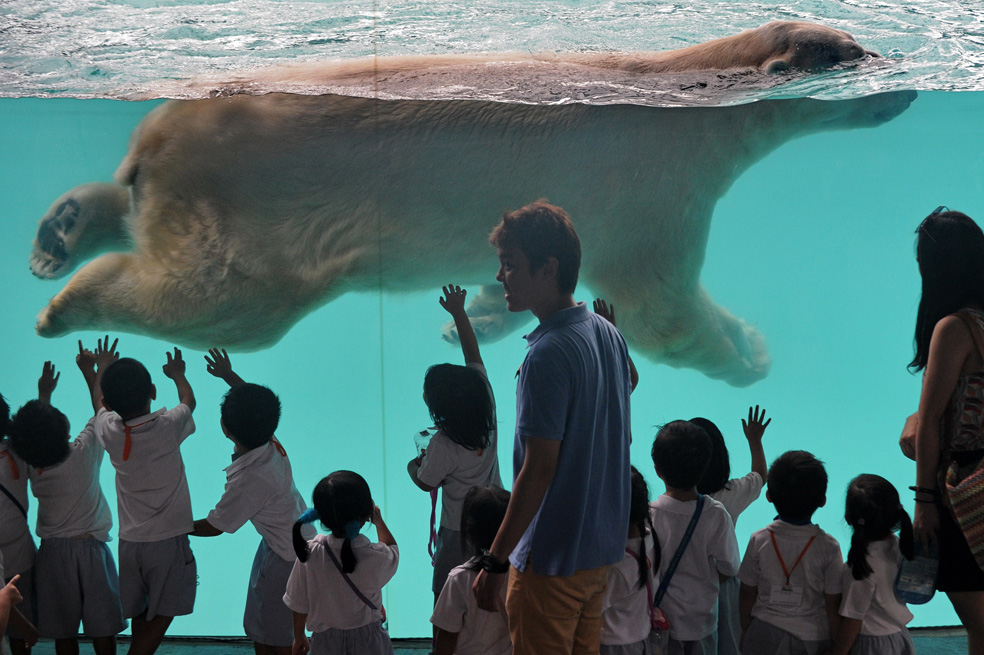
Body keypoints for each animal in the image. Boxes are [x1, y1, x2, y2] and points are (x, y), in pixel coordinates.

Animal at [29, 21, 912, 387]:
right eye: (855, 53)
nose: (902, 84)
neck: (685, 86)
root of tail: (158, 146)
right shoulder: (655, 182)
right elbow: (656, 306)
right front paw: (749, 351)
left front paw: (481, 314)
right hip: (258, 217)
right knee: (221, 299)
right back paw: (63, 303)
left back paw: (60, 228)